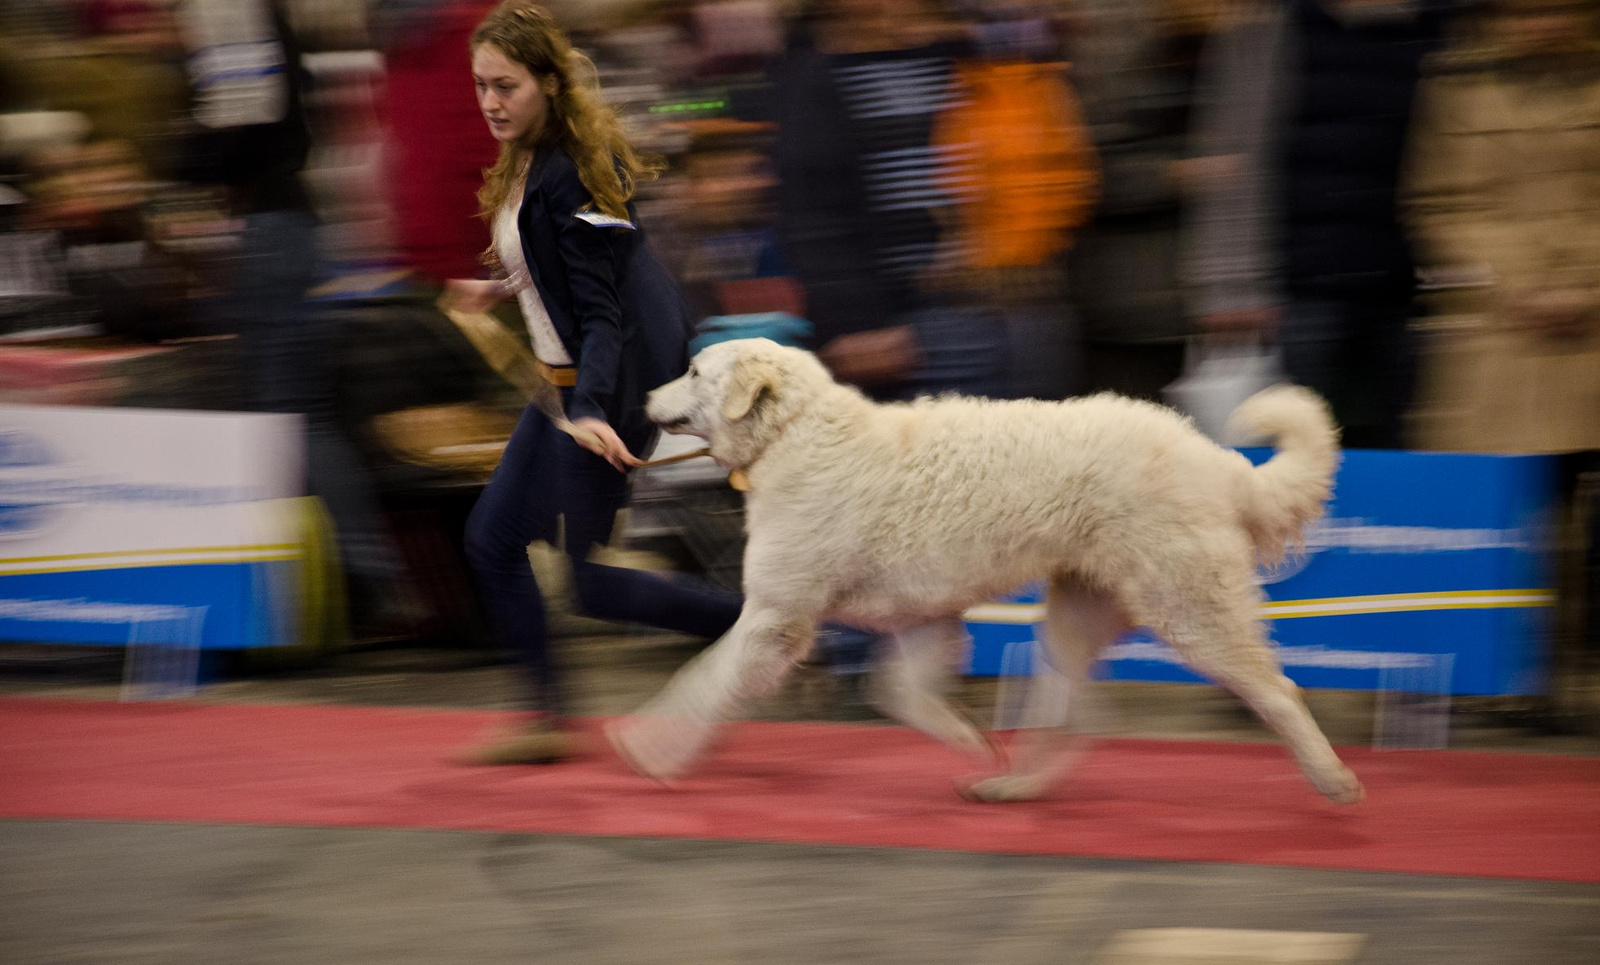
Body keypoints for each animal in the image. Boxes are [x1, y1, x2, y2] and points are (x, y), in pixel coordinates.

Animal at [611, 336, 1363, 803]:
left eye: (694, 372)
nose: (640, 398)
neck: (795, 434)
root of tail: (1214, 458)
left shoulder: (775, 619)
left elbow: (699, 683)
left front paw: (648, 748)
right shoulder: (917, 620)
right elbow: (898, 695)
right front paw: (971, 743)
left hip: (1190, 609)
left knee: (1278, 691)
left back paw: (1333, 779)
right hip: (1074, 620)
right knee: (1073, 721)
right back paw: (1012, 787)